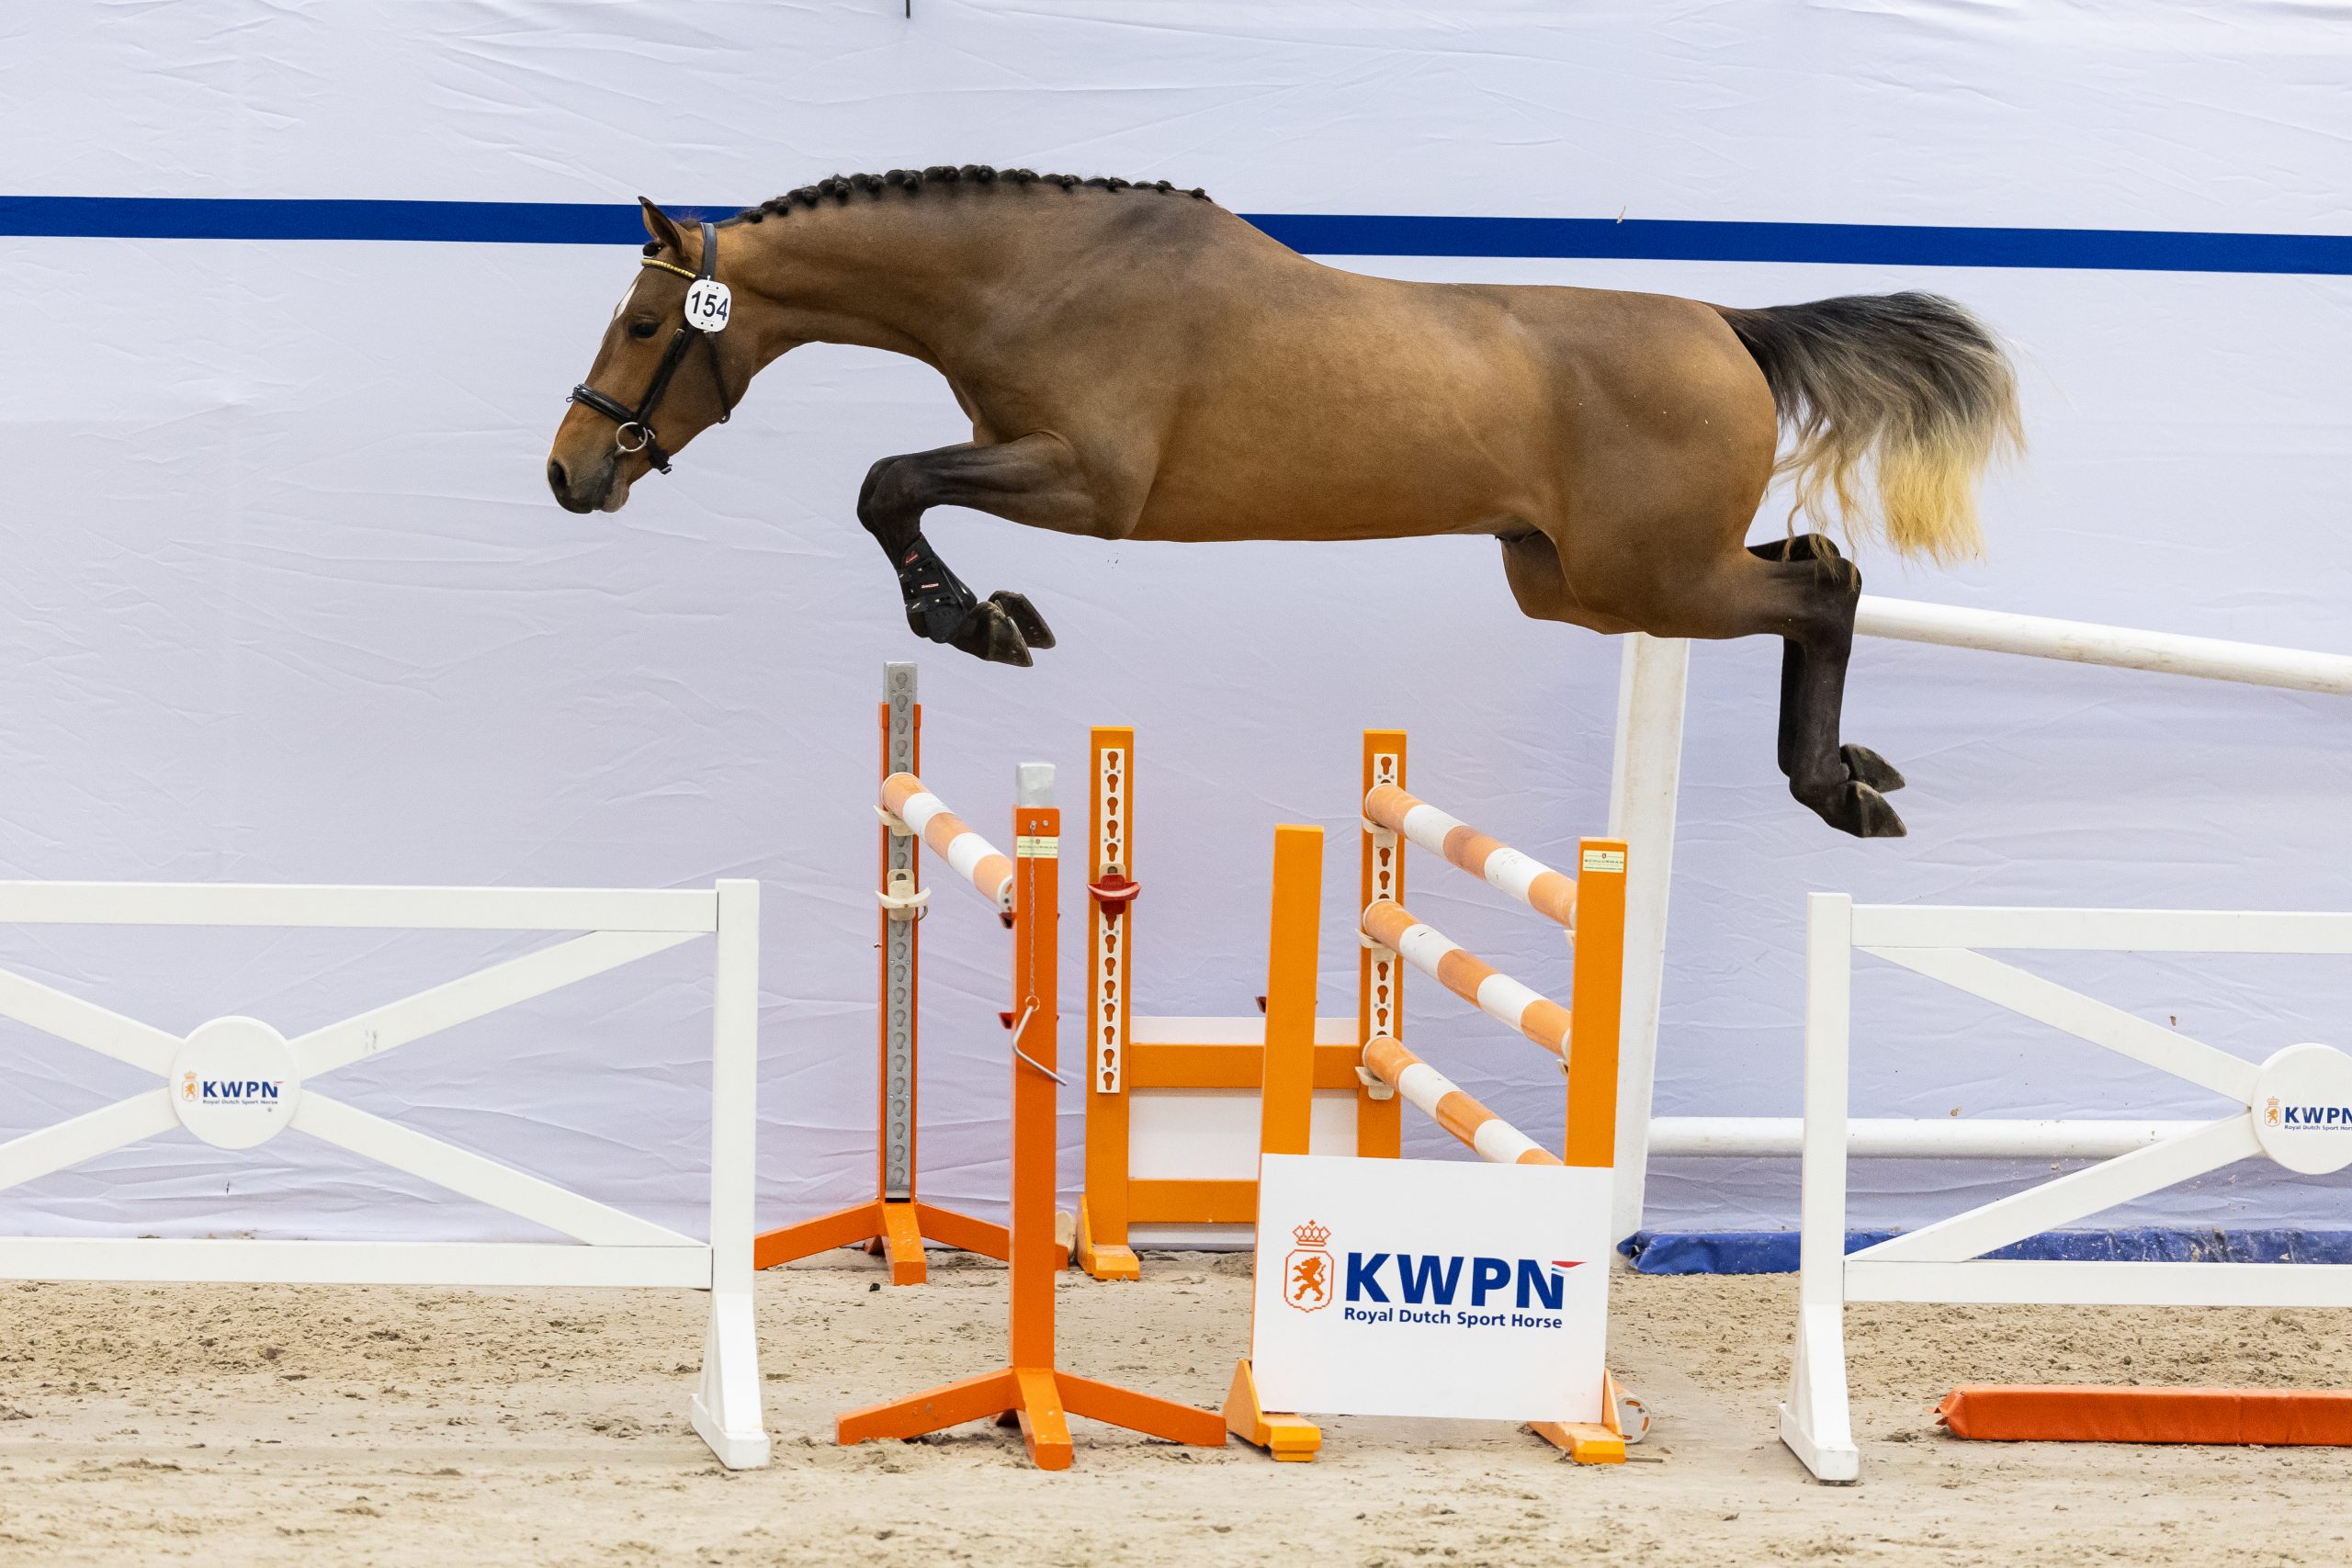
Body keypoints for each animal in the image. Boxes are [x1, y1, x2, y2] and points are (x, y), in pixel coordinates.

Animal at [546, 168, 2021, 838]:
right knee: (1813, 568)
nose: (570, 472)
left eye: (643, 325)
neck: (1035, 269)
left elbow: (886, 486)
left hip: (1650, 577)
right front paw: (990, 612)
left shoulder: (1089, 480)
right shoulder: (1027, 456)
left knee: (1826, 586)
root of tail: (1730, 324)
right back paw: (1848, 773)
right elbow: (900, 489)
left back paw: (1833, 786)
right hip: (1576, 579)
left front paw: (974, 619)